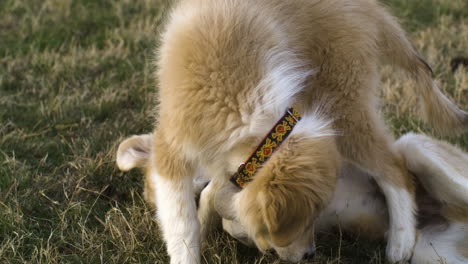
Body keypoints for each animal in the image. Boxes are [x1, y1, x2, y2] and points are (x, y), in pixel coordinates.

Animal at [116, 1, 464, 262]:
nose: (310, 254)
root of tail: (370, 11)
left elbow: (192, 219)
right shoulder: (175, 152)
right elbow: (184, 225)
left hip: (342, 98)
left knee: (395, 168)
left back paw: (400, 242)